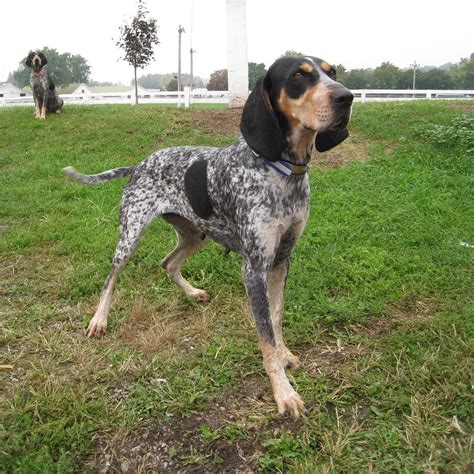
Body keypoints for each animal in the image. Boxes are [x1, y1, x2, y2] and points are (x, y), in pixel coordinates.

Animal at [64, 56, 352, 418]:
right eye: (299, 75)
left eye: (332, 72)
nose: (347, 97)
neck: (283, 170)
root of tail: (139, 164)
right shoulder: (254, 269)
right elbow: (266, 336)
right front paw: (283, 392)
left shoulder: (281, 259)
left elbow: (276, 319)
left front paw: (285, 356)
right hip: (130, 236)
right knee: (110, 279)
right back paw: (99, 320)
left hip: (195, 234)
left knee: (167, 262)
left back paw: (192, 293)